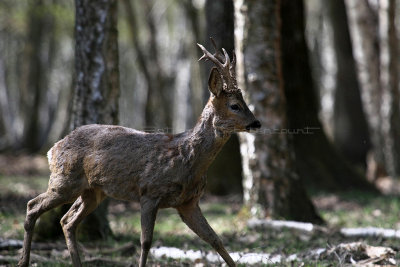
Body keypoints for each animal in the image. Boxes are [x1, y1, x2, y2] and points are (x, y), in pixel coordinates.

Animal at [18, 40, 262, 267]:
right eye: (234, 105)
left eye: (244, 102)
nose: (256, 123)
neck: (186, 159)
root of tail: (52, 149)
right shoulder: (149, 193)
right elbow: (146, 242)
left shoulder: (188, 203)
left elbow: (215, 239)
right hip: (65, 180)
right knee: (33, 206)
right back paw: (23, 260)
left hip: (93, 191)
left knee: (67, 221)